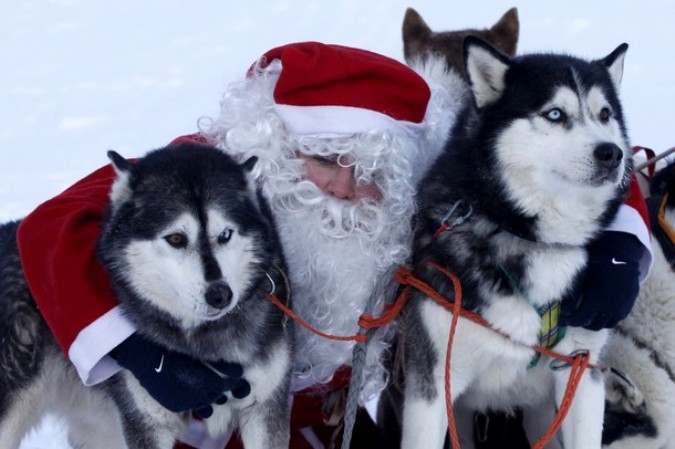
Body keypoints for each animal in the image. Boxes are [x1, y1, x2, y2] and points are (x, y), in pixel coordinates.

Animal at [0, 144, 294, 448]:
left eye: (225, 234)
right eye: (176, 239)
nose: (220, 295)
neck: (204, 346)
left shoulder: (264, 408)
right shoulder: (146, 421)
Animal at [398, 38, 632, 448]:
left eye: (605, 114)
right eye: (554, 114)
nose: (611, 153)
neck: (533, 239)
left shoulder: (580, 370)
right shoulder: (433, 384)